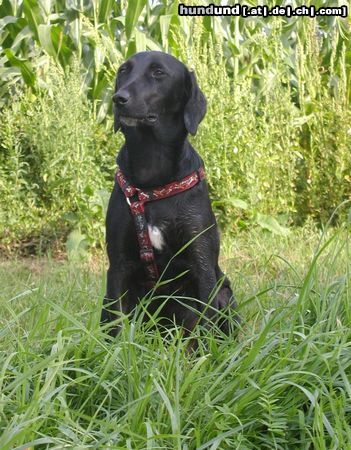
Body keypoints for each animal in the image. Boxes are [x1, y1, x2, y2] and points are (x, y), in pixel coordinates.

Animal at [102, 51, 238, 336]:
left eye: (158, 73)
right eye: (123, 70)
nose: (119, 98)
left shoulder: (203, 265)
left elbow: (206, 325)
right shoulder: (117, 266)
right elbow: (117, 325)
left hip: (226, 293)